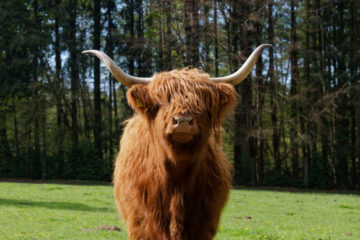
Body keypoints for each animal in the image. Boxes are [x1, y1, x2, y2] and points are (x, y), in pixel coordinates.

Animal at [83, 44, 270, 239]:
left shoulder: (202, 225)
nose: (182, 121)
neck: (176, 179)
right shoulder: (142, 223)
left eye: (201, 102)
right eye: (161, 101)